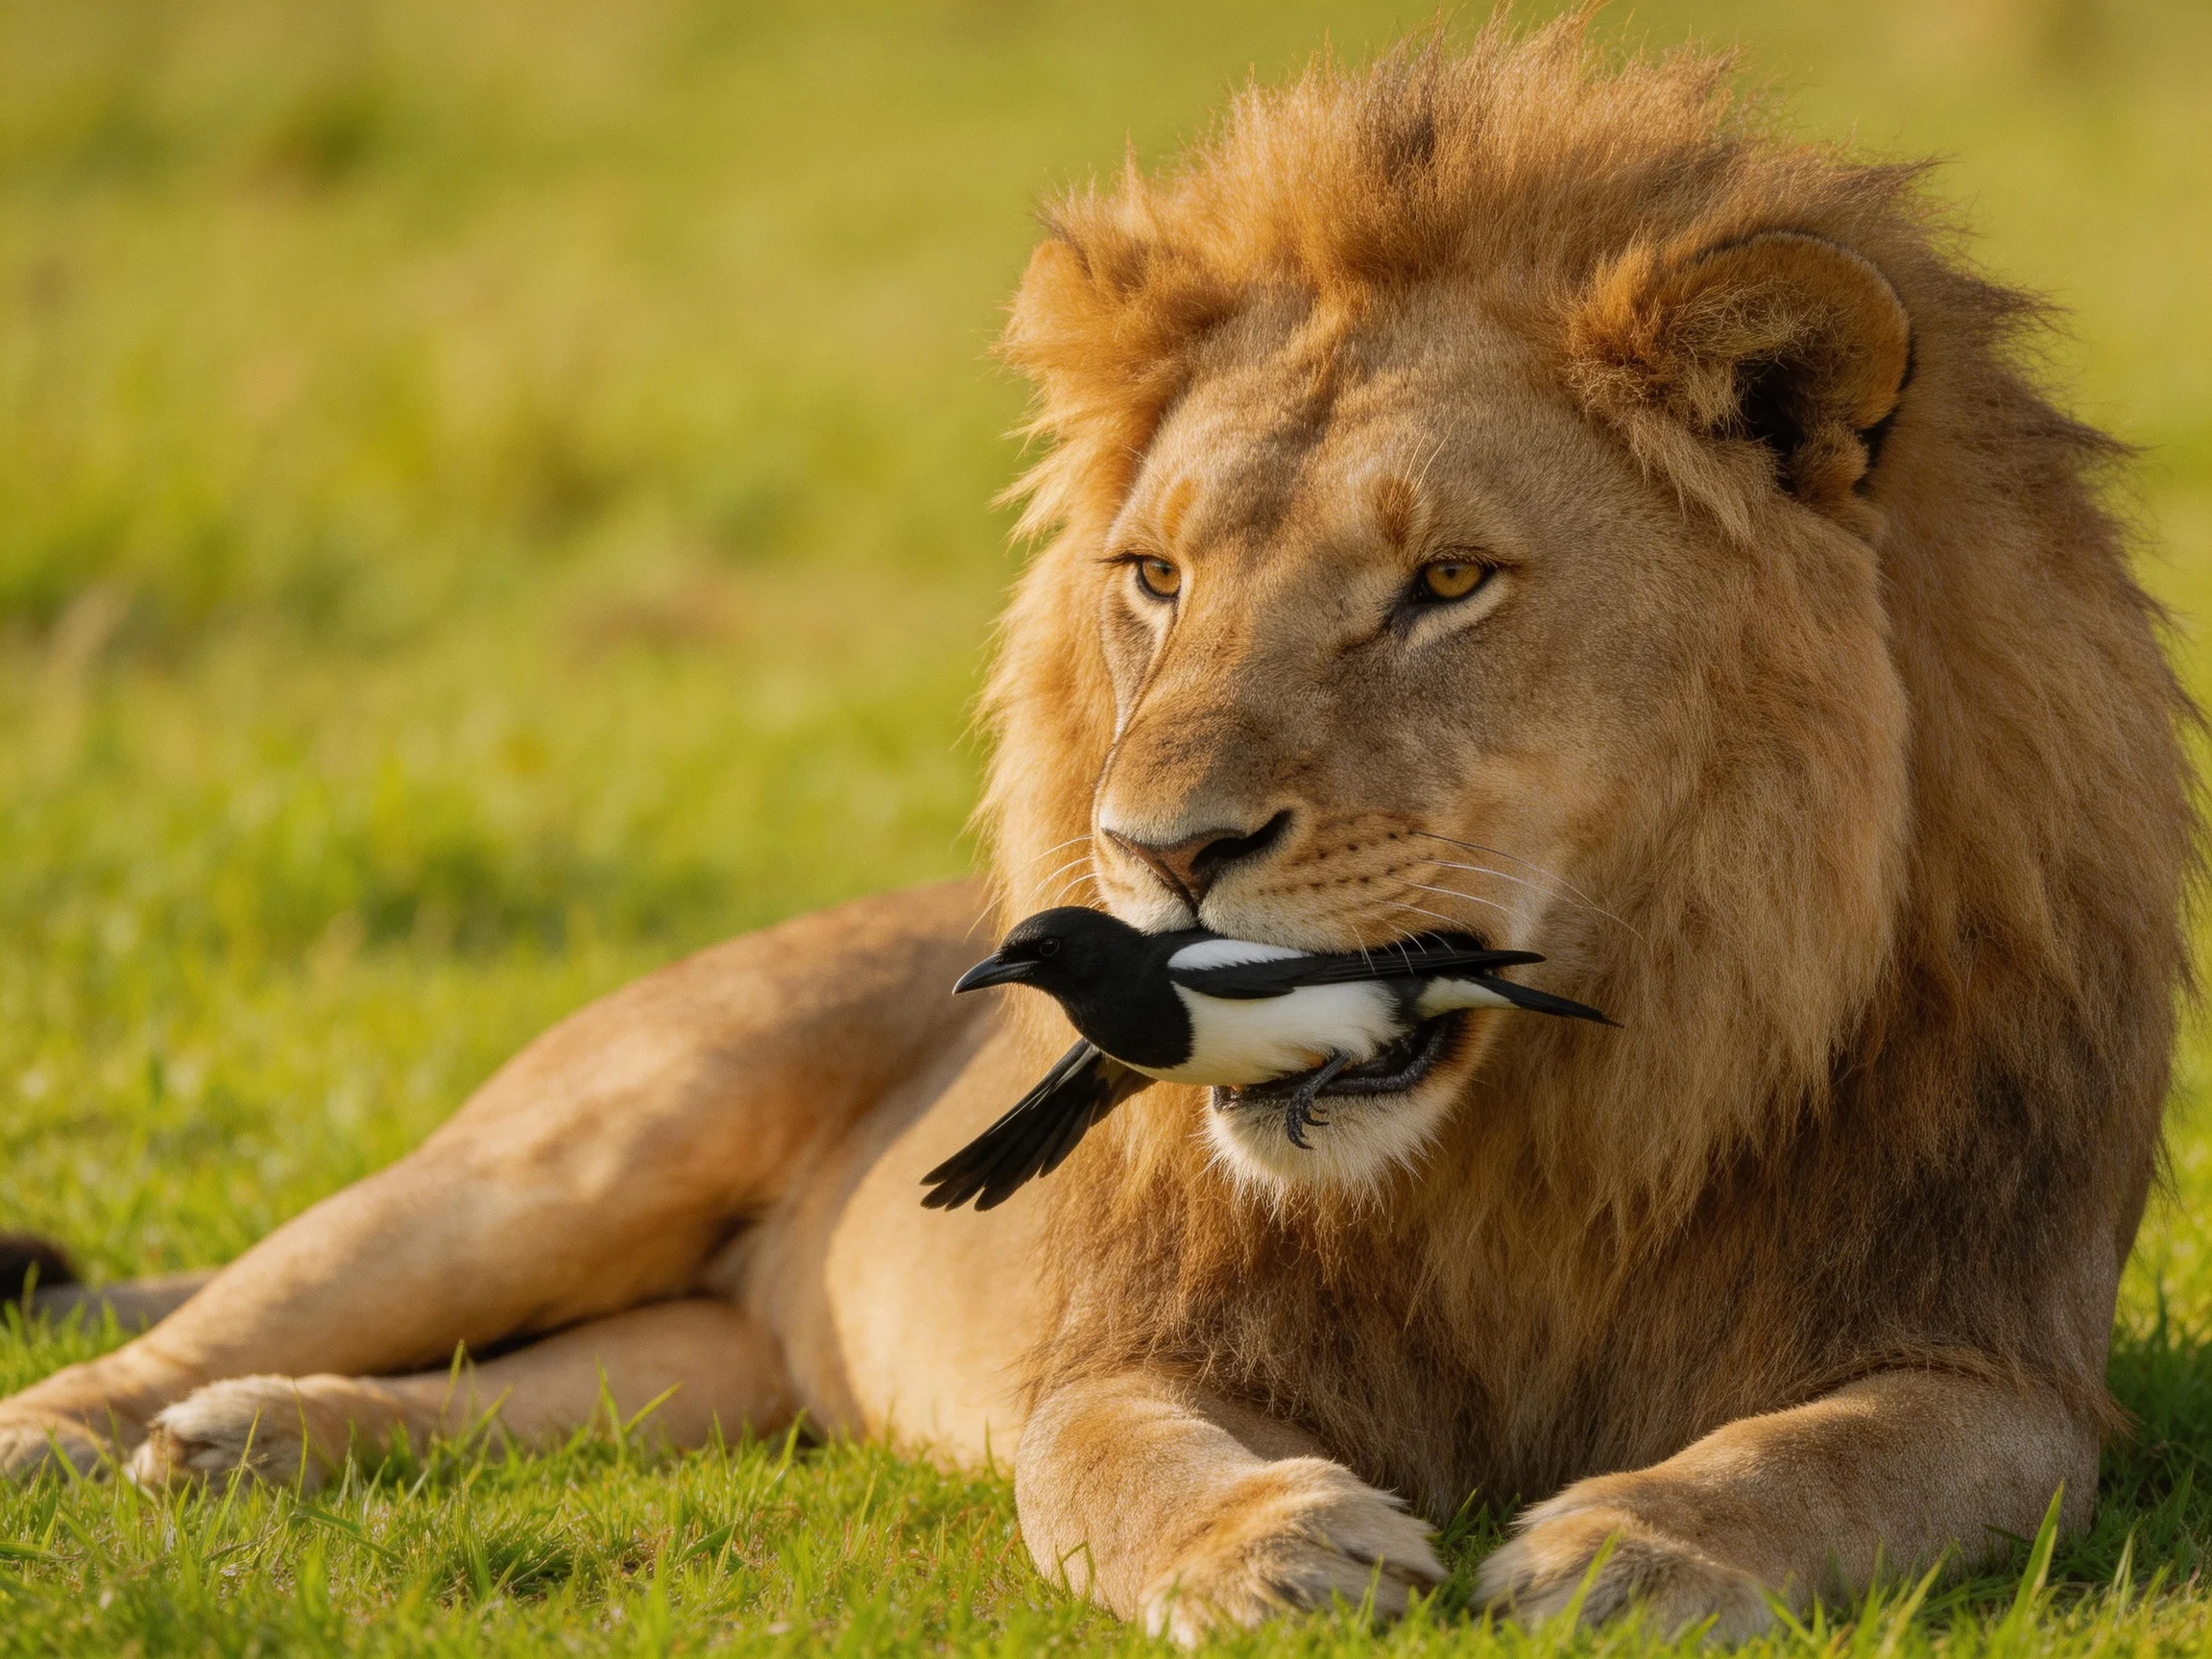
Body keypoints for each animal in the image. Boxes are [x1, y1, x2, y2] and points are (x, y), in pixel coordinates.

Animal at [1, 22, 2193, 1642]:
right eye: (1155, 577)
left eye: (1448, 584)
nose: (1156, 855)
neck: (1561, 1126)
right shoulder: (1129, 1331)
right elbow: (1110, 1454)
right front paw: (1272, 1546)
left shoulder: (1997, 1355)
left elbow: (1835, 1451)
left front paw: (1636, 1546)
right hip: (564, 1150)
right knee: (217, 1317)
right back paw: (97, 1434)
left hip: (718, 1361)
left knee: (551, 1386)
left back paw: (255, 1439)